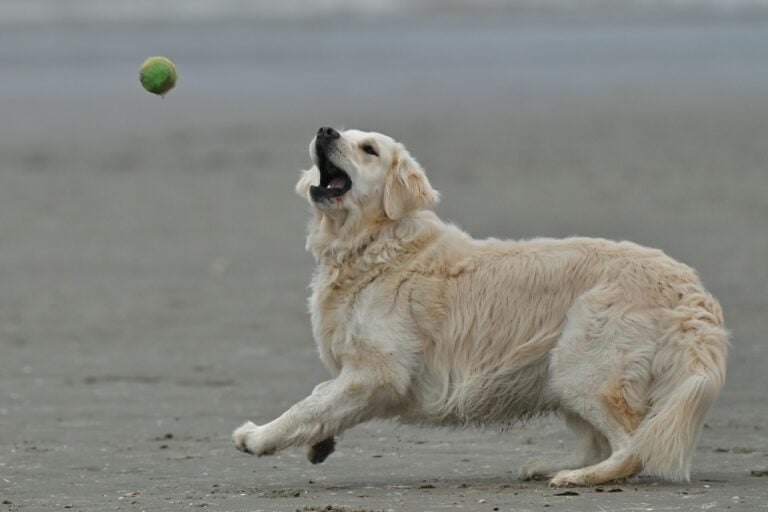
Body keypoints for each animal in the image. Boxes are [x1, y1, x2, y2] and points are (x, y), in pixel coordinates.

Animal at [232, 126, 728, 486]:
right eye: (342, 134)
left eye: (368, 149)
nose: (324, 130)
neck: (373, 245)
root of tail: (693, 292)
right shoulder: (359, 372)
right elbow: (323, 398)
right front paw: (319, 444)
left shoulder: (380, 371)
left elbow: (307, 405)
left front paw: (258, 437)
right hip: (562, 369)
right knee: (605, 441)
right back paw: (553, 466)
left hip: (583, 361)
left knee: (630, 445)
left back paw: (578, 478)